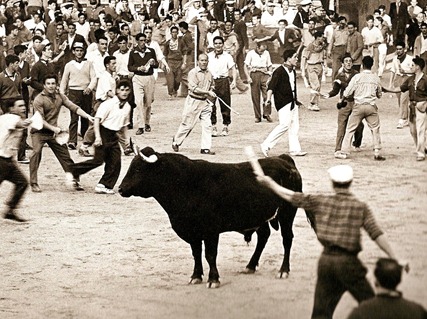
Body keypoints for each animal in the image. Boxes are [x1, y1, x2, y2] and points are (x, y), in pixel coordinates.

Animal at [118, 148, 312, 290]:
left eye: (138, 169)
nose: (120, 188)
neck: (186, 185)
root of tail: (284, 159)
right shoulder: (192, 232)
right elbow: (196, 254)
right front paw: (196, 276)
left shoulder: (211, 231)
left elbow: (210, 255)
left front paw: (213, 280)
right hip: (260, 217)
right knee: (263, 236)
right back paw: (250, 266)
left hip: (287, 213)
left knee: (287, 239)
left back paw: (283, 270)